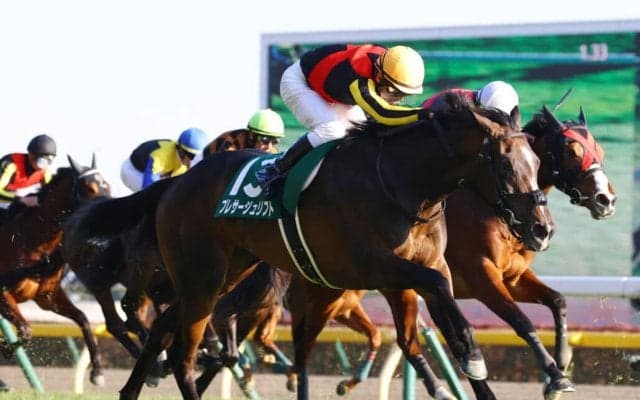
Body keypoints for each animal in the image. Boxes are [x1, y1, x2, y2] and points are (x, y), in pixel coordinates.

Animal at [0, 155, 111, 386]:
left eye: (108, 185)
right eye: (91, 188)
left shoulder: (47, 296)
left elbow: (83, 319)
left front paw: (97, 372)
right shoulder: (2, 293)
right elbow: (25, 330)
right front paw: (5, 348)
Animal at [65, 93, 554, 400]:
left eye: (537, 160)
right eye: (506, 163)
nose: (542, 228)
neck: (405, 184)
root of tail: (178, 183)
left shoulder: (429, 269)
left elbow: (448, 319)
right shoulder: (377, 267)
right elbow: (445, 307)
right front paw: (479, 357)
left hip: (225, 273)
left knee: (165, 327)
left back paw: (132, 388)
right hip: (202, 275)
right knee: (183, 353)